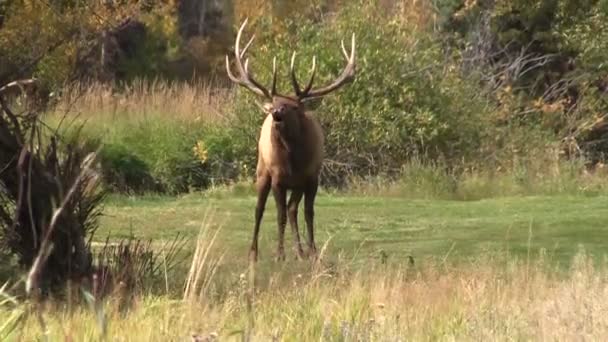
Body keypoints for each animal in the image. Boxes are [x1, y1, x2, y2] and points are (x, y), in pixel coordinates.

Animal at [226, 18, 354, 262]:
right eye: (275, 102)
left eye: (293, 106)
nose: (275, 113)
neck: (294, 160)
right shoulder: (278, 178)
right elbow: (280, 215)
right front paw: (279, 254)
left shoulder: (311, 176)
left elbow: (308, 213)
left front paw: (312, 251)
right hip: (262, 169)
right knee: (260, 209)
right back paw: (253, 252)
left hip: (297, 184)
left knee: (293, 209)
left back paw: (300, 251)